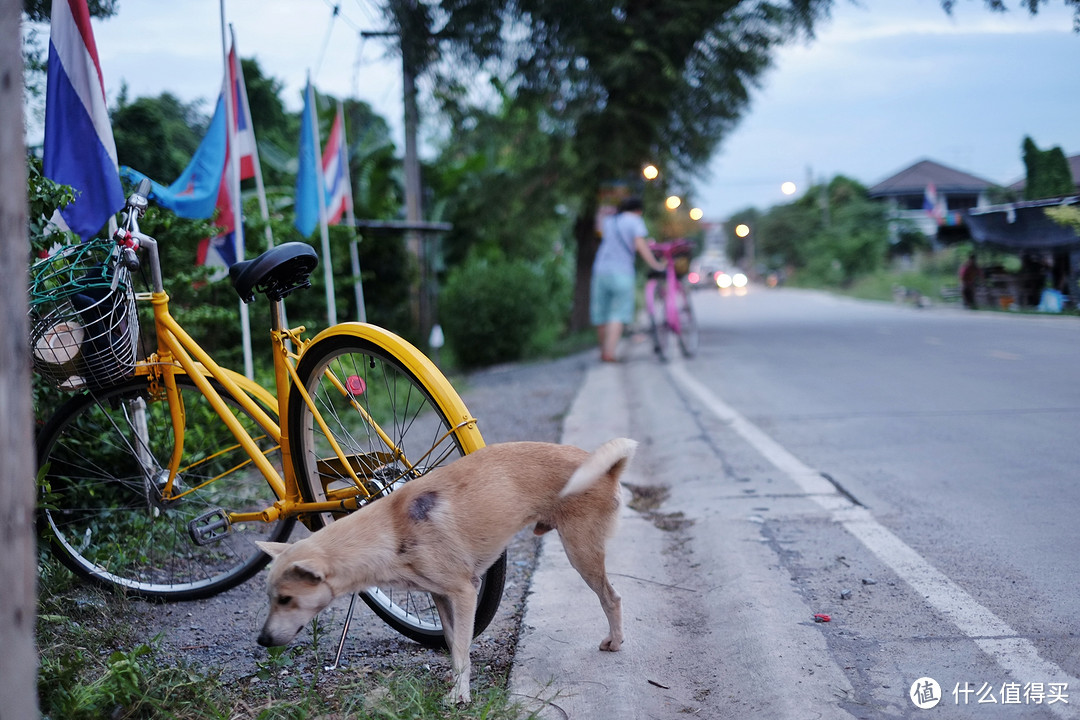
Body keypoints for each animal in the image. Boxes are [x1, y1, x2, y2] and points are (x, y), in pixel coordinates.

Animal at [257, 440, 635, 703]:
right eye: (270, 598)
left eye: (286, 599)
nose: (262, 641)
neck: (390, 529)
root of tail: (608, 468)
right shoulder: (440, 596)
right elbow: (455, 646)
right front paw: (456, 684)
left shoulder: (465, 592)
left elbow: (464, 648)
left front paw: (461, 696)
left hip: (581, 554)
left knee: (612, 597)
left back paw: (616, 641)